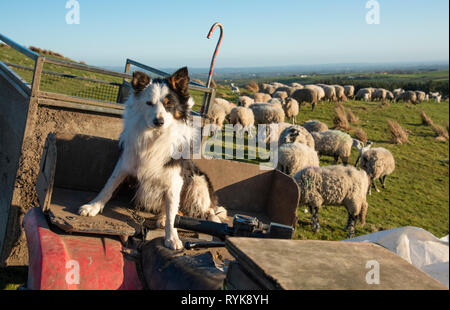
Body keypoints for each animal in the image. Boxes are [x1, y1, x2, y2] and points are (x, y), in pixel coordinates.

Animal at [79, 67, 227, 249]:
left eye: (169, 104)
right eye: (149, 103)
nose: (159, 121)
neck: (155, 136)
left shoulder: (175, 177)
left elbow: (172, 212)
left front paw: (172, 237)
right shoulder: (125, 162)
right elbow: (109, 186)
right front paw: (93, 206)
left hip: (198, 181)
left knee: (204, 210)